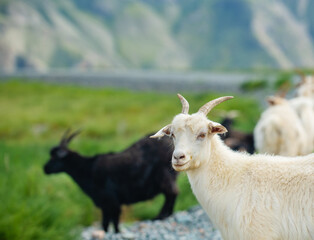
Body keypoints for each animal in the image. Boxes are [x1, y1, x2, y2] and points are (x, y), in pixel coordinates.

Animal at [43, 130, 178, 233]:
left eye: (55, 157)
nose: (45, 168)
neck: (88, 169)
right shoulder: (105, 205)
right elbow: (106, 224)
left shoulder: (111, 201)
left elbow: (114, 224)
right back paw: (167, 214)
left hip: (164, 175)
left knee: (172, 193)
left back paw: (160, 216)